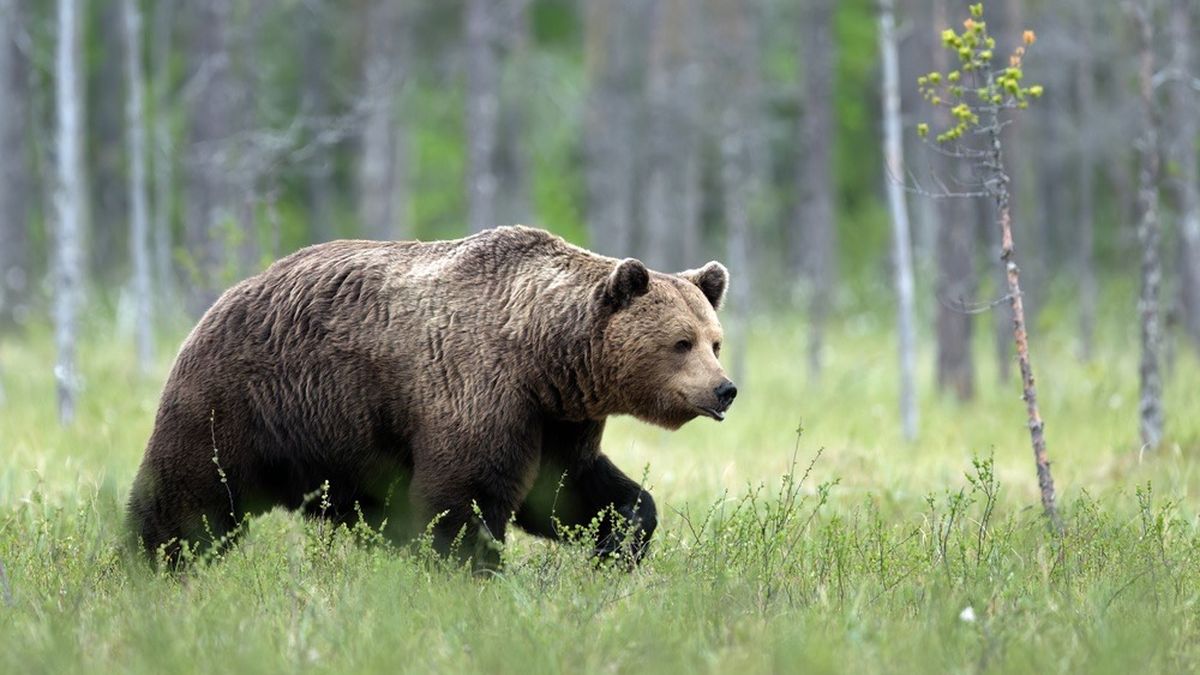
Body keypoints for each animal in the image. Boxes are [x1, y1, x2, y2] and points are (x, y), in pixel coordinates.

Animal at [127, 225, 737, 569]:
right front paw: (471, 571)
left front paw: (618, 544)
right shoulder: (478, 387)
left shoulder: (556, 418)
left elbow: (568, 488)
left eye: (715, 341)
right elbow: (464, 497)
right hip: (240, 400)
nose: (724, 389)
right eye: (680, 343)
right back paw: (154, 563)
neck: (546, 356)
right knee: (190, 496)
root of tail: (221, 299)